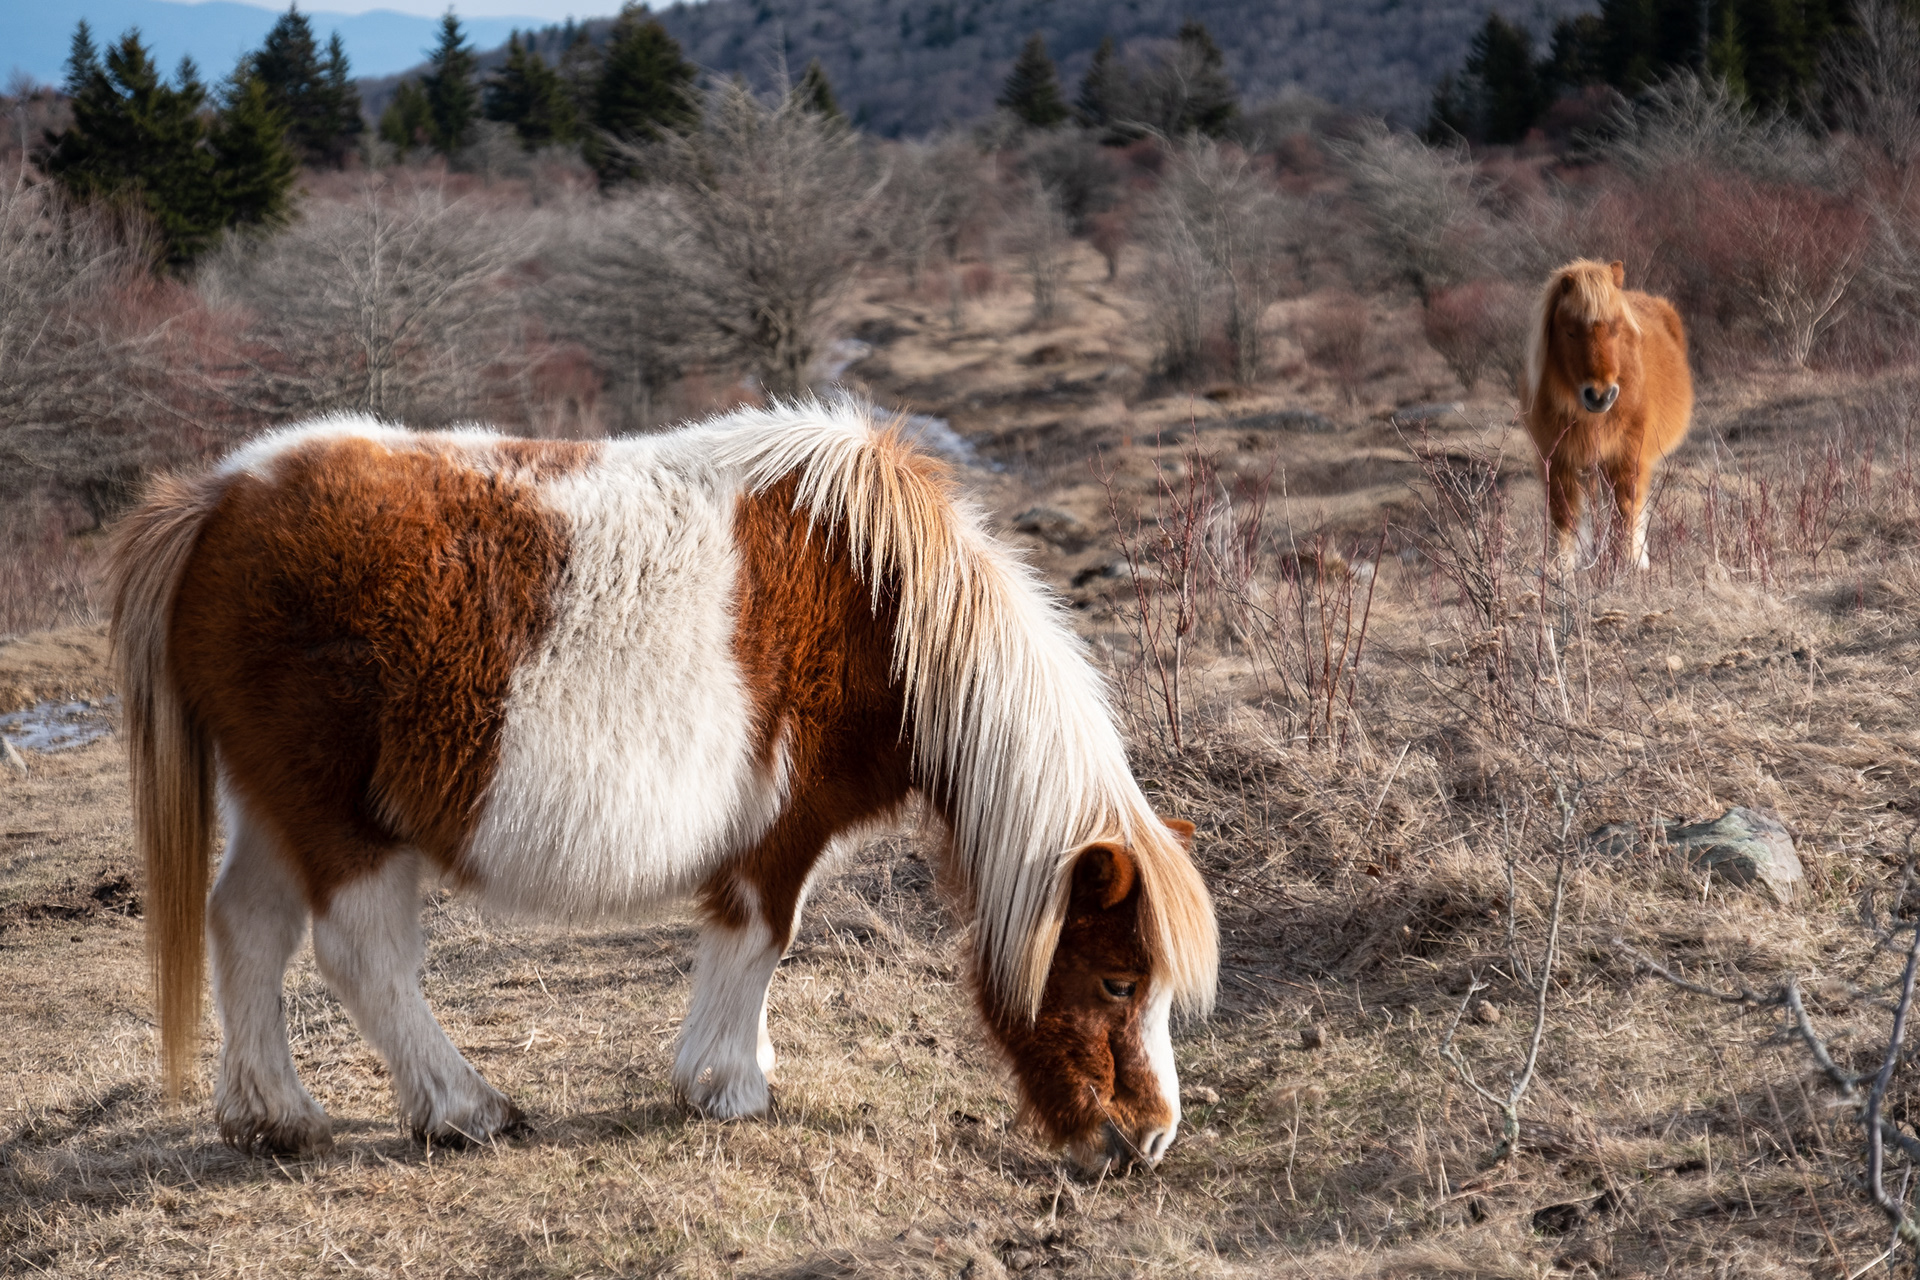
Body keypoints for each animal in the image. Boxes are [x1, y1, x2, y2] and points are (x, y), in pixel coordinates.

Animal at [108, 400, 1218, 1172]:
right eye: (1119, 981)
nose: (1150, 1138)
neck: (887, 605)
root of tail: (217, 502)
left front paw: (750, 1063)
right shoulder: (781, 829)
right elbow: (760, 937)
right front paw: (725, 1085)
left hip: (276, 806)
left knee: (246, 927)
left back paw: (276, 1117)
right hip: (341, 819)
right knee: (360, 956)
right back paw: (465, 1107)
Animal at [1522, 259, 1693, 570]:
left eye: (1616, 329)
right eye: (1570, 331)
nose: (1600, 395)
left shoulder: (1627, 458)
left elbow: (1625, 515)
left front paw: (1629, 566)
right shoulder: (1558, 461)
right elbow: (1564, 519)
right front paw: (1561, 572)